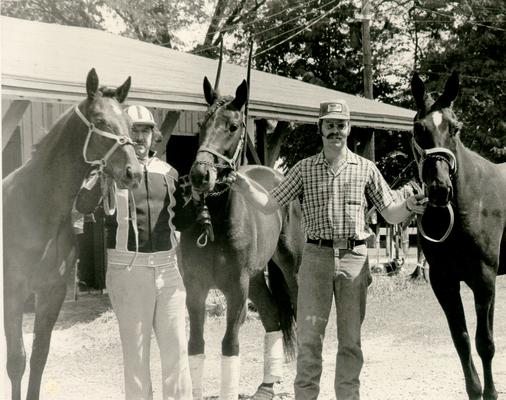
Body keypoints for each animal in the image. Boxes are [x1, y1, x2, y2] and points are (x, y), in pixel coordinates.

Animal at [2, 69, 142, 400]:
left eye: (129, 123)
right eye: (101, 120)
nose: (134, 172)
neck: (36, 208)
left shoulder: (51, 293)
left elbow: (39, 357)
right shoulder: (13, 291)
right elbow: (16, 361)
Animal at [180, 76, 302, 398]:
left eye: (233, 126)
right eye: (201, 124)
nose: (200, 175)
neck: (215, 223)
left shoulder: (236, 289)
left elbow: (229, 345)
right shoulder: (195, 288)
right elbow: (195, 346)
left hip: (290, 268)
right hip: (257, 277)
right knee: (272, 317)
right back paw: (267, 385)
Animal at [412, 72, 506, 400]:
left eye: (455, 127)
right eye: (419, 128)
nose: (440, 188)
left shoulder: (485, 279)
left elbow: (485, 343)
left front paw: (491, 392)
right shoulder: (444, 281)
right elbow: (462, 340)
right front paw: (476, 390)